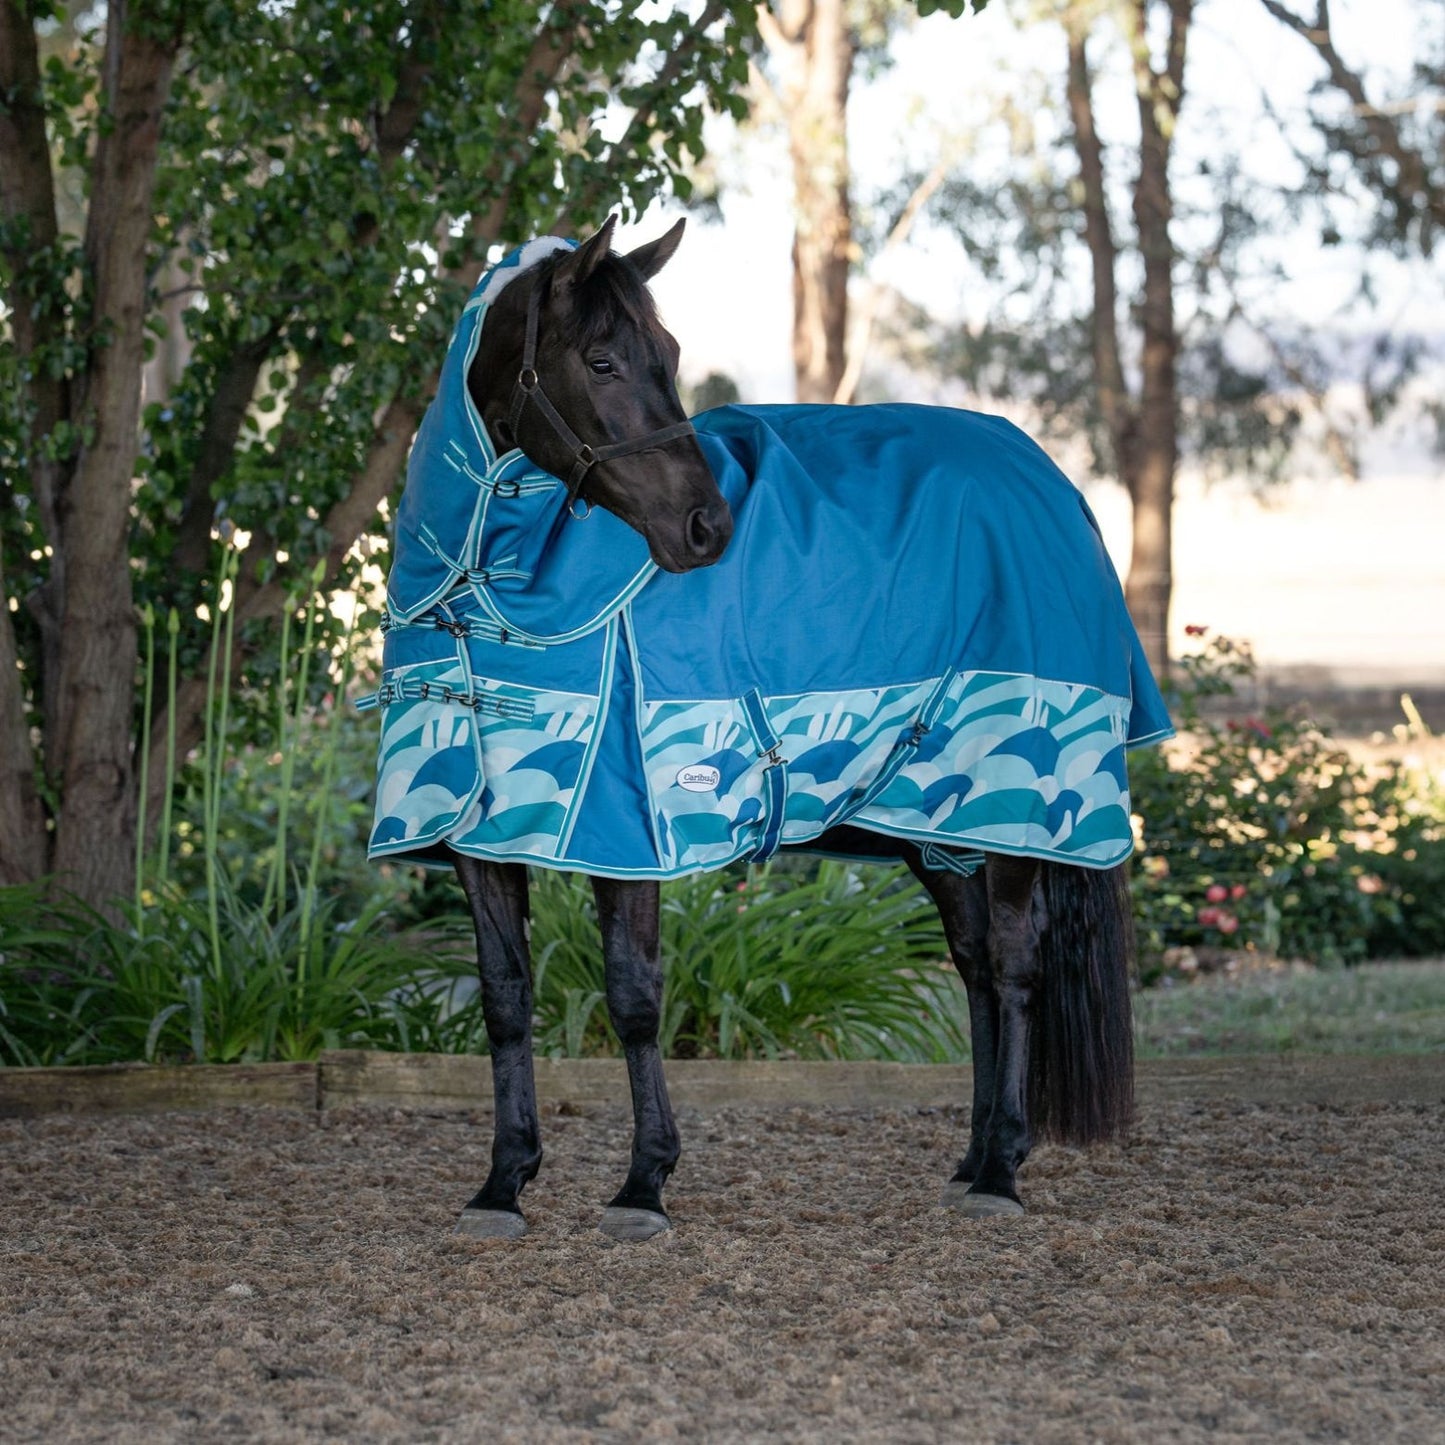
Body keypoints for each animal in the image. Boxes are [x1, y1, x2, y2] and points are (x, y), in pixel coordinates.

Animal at [365, 216, 1171, 1241]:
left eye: (668, 354)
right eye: (601, 359)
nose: (705, 528)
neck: (486, 590)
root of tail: (1050, 481)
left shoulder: (625, 830)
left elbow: (633, 996)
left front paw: (643, 1184)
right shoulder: (482, 834)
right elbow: (505, 1000)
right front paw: (503, 1182)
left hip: (1004, 810)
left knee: (1016, 962)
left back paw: (1000, 1173)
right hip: (929, 820)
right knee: (975, 965)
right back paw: (975, 1156)